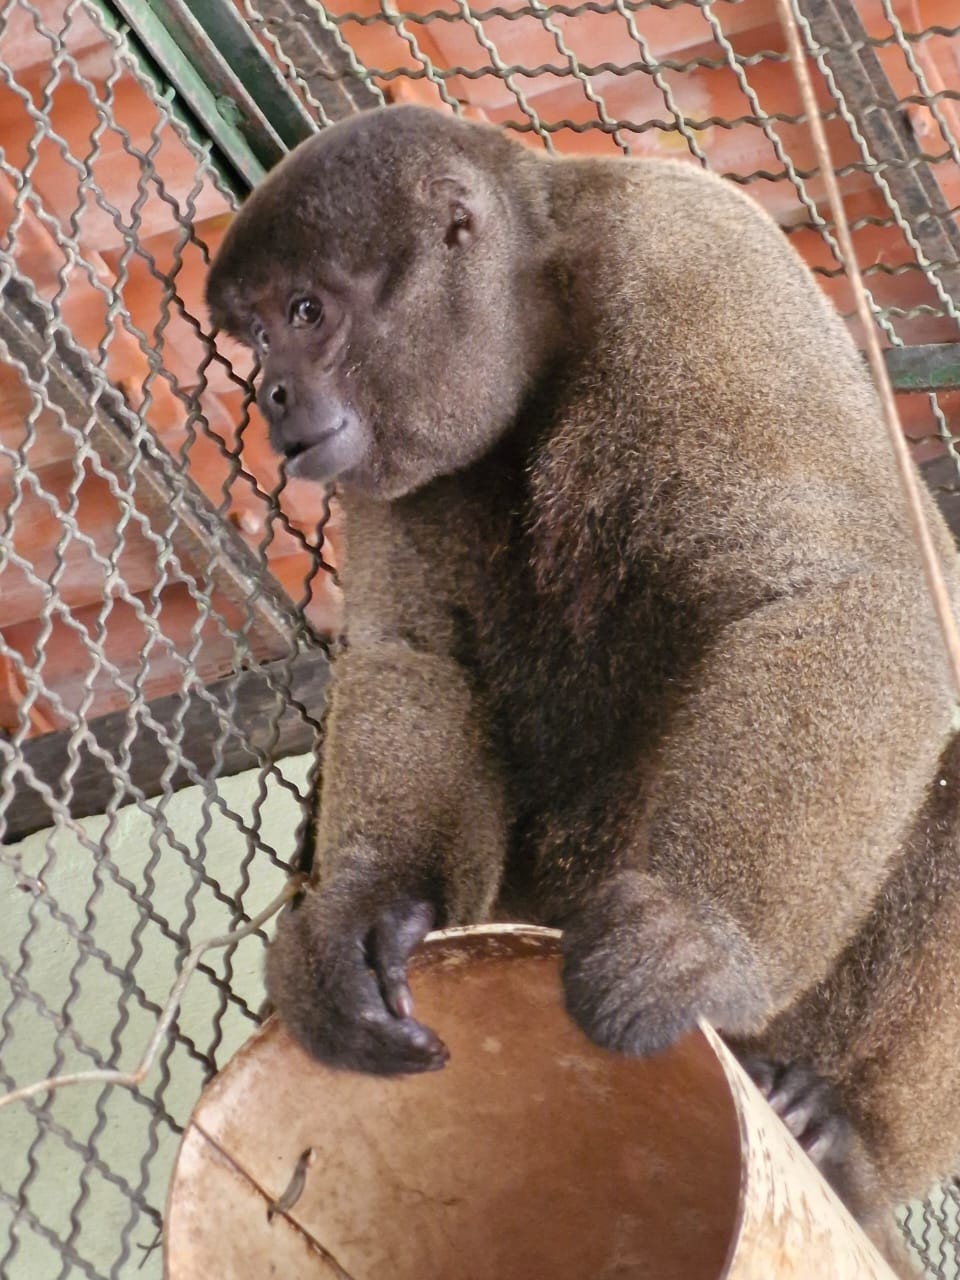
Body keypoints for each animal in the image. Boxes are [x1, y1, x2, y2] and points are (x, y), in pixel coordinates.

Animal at [206, 104, 960, 1272]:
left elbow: (850, 593)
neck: (544, 304)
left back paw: (837, 1132)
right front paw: (363, 917)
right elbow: (416, 656)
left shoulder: (690, 255)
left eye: (306, 312)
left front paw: (700, 938)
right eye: (254, 337)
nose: (273, 394)